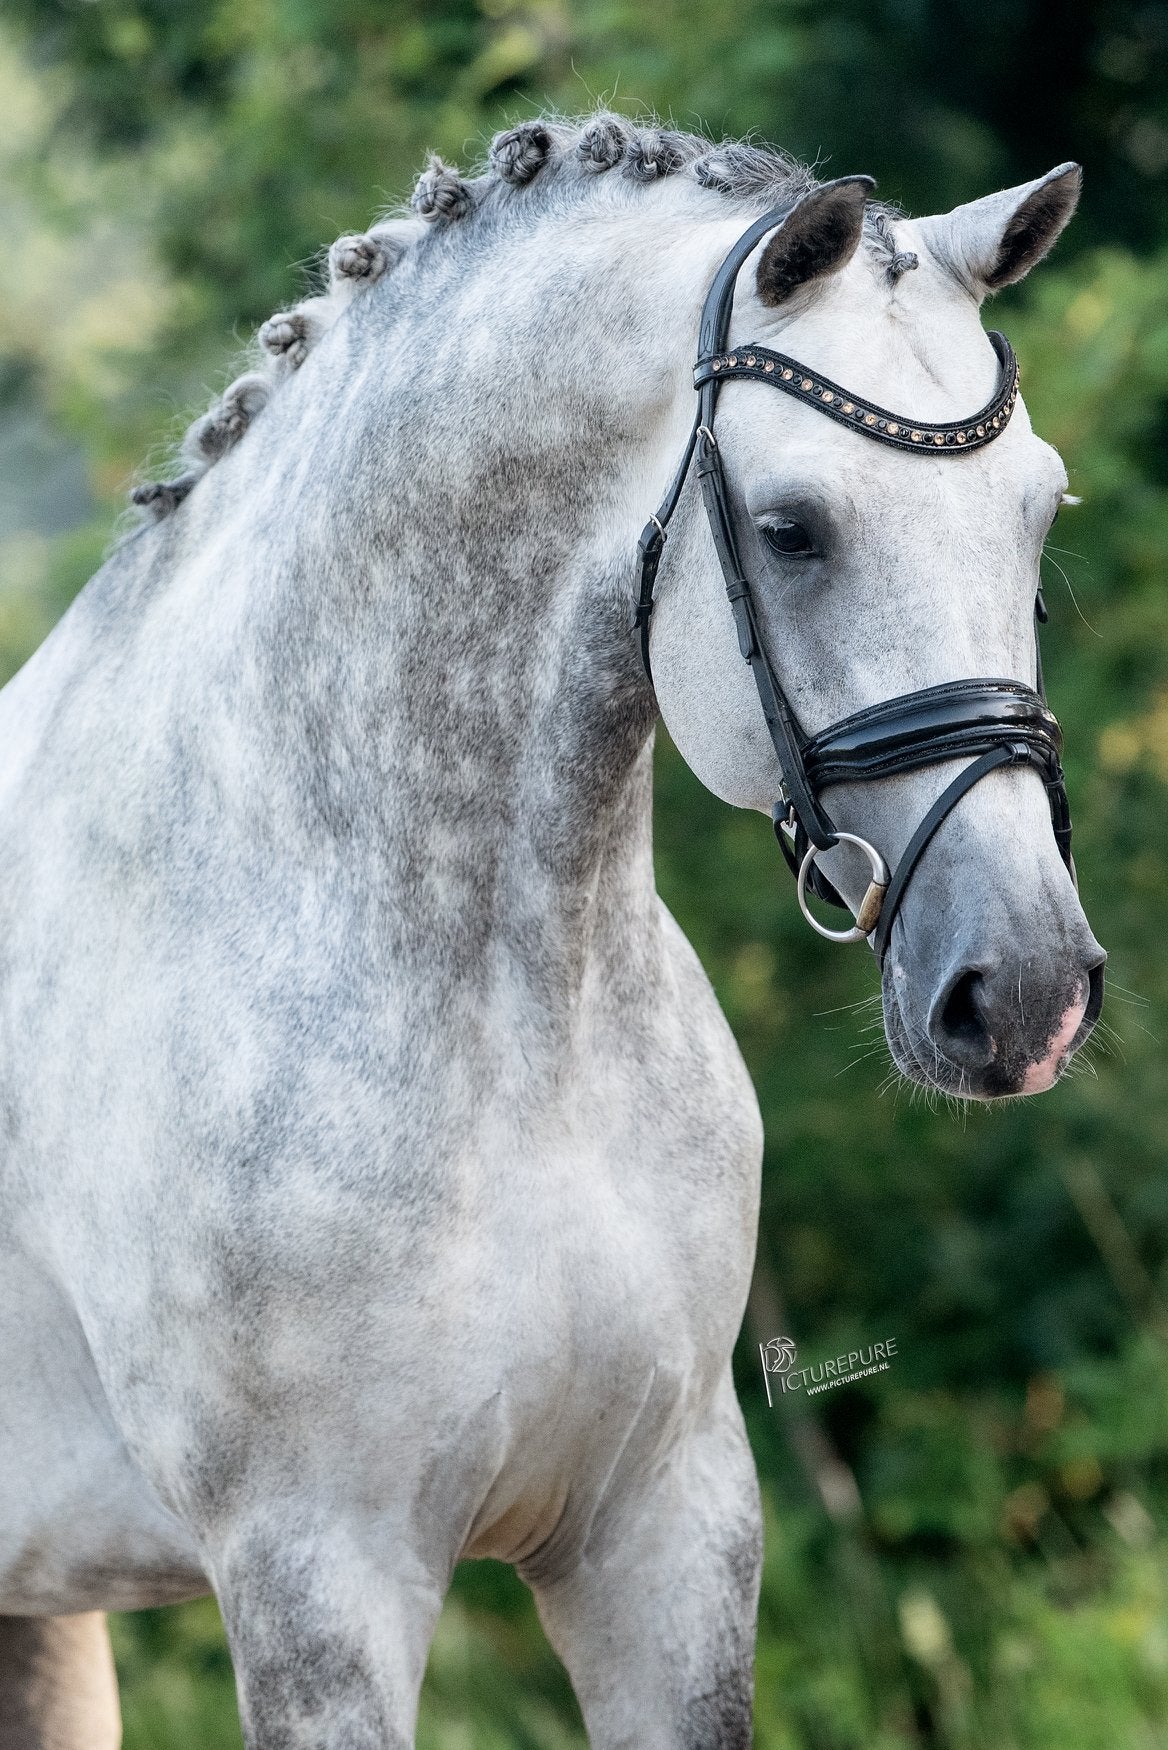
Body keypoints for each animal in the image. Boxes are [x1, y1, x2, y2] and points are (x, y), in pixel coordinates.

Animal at [0, 114, 1104, 1748]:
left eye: (1039, 511)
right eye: (793, 530)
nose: (1023, 992)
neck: (508, 1015)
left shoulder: (665, 1530)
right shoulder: (318, 1581)